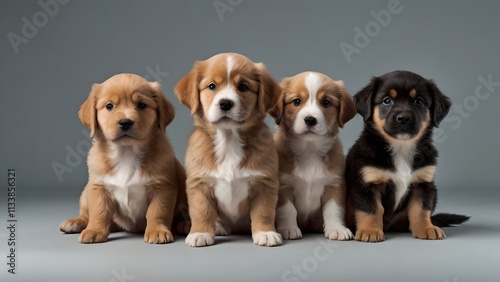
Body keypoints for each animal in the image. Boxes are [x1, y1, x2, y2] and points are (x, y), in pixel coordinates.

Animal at [59, 74, 188, 243]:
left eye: (141, 105)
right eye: (109, 106)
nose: (125, 122)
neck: (127, 152)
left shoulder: (162, 187)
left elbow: (157, 211)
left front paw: (157, 230)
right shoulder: (98, 187)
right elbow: (98, 212)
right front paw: (95, 230)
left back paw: (185, 225)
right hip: (85, 192)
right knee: (87, 213)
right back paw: (75, 222)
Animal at [175, 53, 286, 247]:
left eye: (243, 87)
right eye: (212, 86)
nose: (225, 103)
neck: (228, 140)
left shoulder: (265, 183)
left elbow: (264, 211)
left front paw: (265, 232)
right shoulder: (199, 183)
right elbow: (201, 211)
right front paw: (200, 233)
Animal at [348, 70, 468, 242]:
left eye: (418, 101)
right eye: (387, 101)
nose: (404, 118)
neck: (401, 148)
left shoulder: (423, 184)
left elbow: (421, 210)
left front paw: (426, 228)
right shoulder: (366, 183)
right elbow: (371, 209)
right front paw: (370, 231)